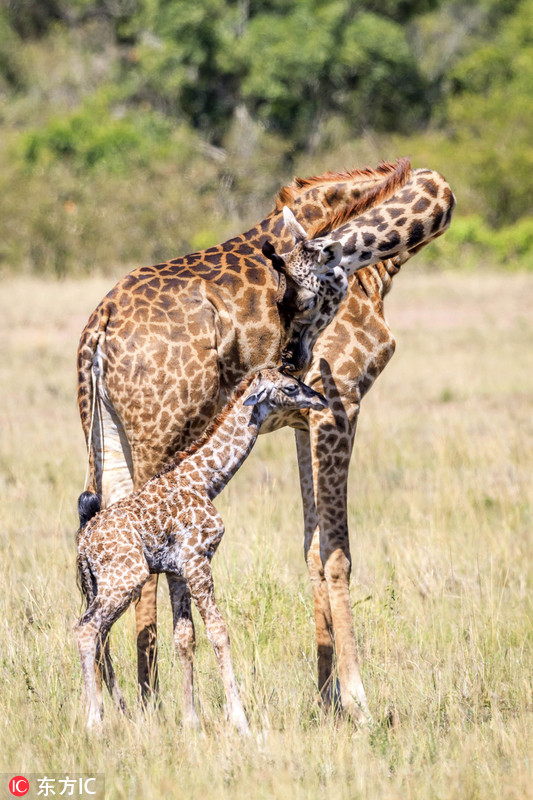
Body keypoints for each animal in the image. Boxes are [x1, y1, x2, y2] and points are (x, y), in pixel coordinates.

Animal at [72, 368, 326, 732]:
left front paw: (191, 720)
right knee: (86, 629)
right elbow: (218, 631)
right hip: (126, 578)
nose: (320, 399)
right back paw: (94, 721)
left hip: (98, 584)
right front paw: (240, 720)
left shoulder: (177, 571)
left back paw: (118, 712)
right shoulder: (197, 560)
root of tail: (84, 540)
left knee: (100, 635)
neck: (205, 480)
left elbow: (184, 637)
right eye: (291, 387)